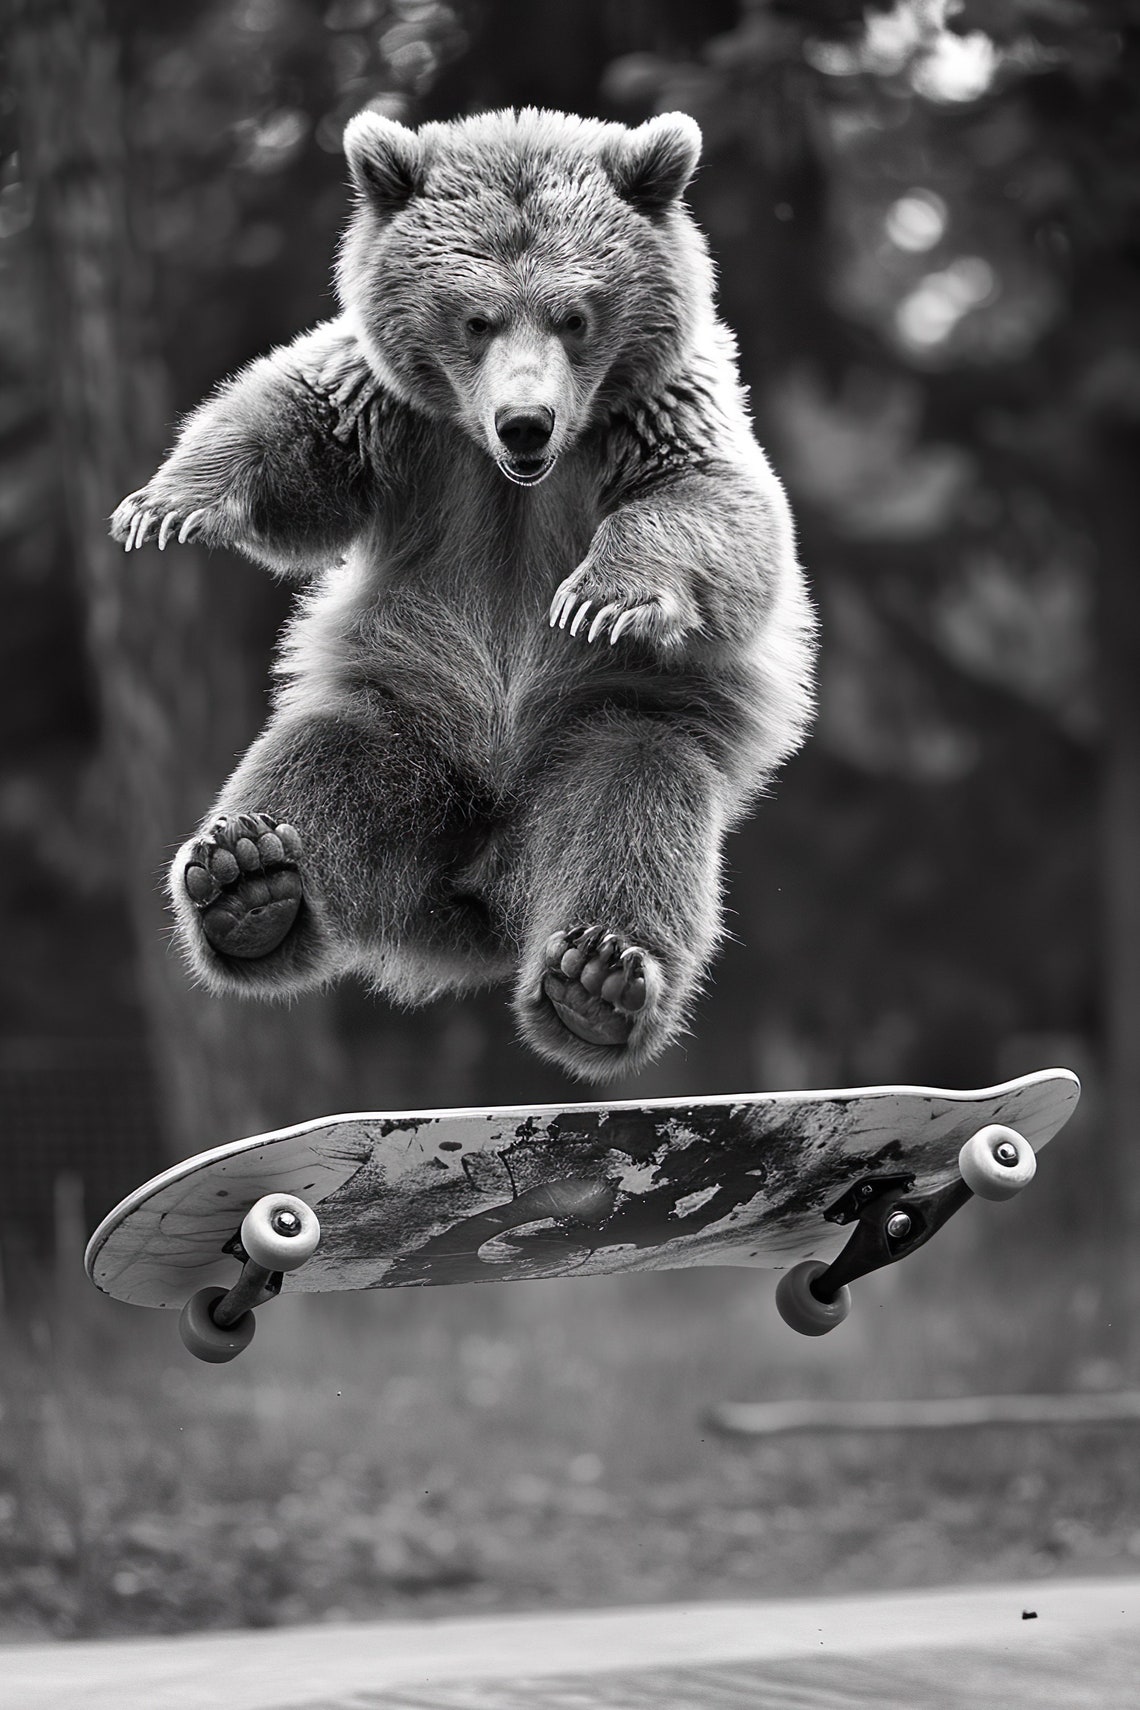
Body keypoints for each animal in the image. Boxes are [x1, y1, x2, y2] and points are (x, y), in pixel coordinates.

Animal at [111, 106, 816, 1082]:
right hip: (406, 712)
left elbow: (711, 510)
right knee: (324, 765)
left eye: (574, 315)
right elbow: (292, 427)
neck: (513, 474)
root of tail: (470, 905)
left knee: (633, 810)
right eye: (476, 319)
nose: (526, 422)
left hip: (614, 724)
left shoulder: (656, 416)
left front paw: (601, 598)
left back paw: (597, 979)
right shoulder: (398, 419)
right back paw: (247, 882)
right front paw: (166, 505)